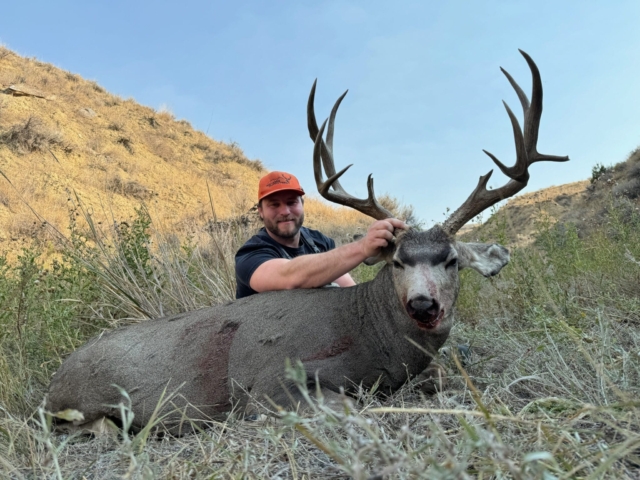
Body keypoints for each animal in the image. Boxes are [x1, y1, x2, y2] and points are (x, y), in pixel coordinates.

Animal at [45, 50, 568, 434]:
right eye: (397, 261)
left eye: (452, 260)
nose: (423, 304)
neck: (372, 339)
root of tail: (52, 385)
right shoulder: (267, 385)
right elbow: (353, 409)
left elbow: (442, 377)